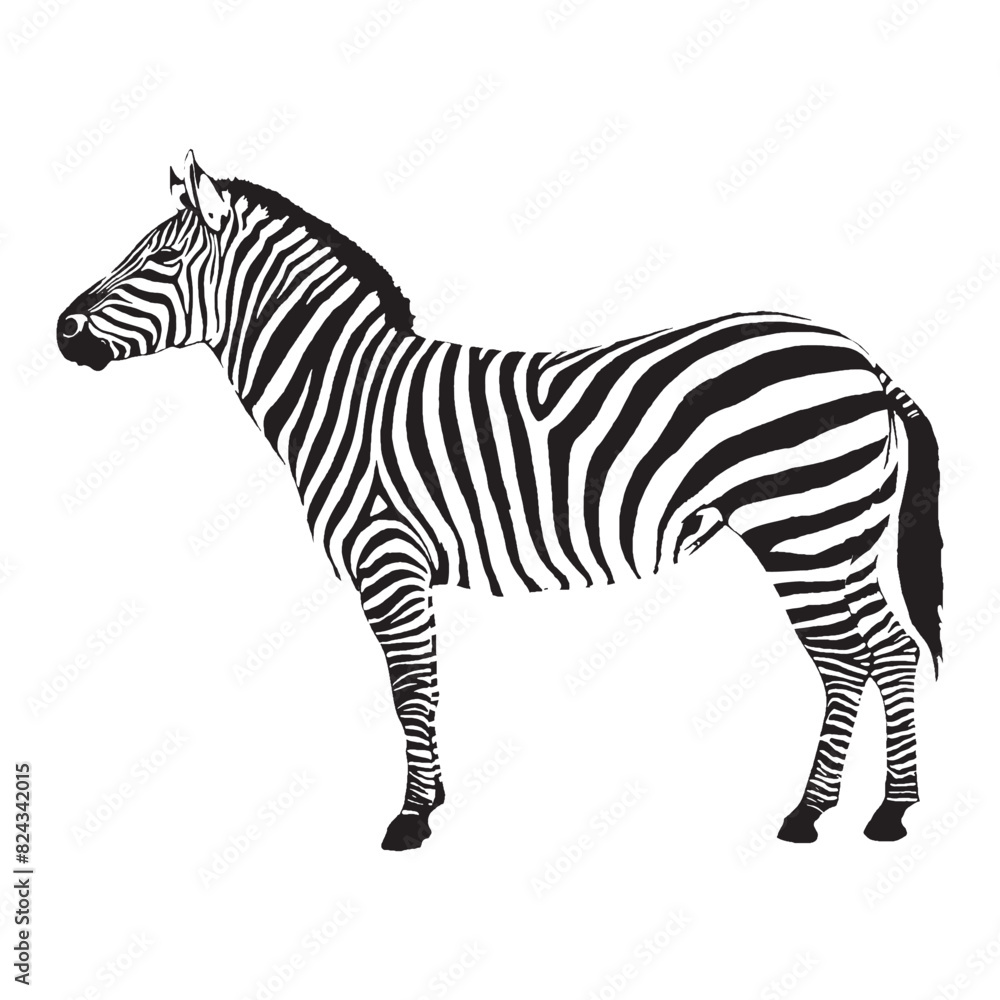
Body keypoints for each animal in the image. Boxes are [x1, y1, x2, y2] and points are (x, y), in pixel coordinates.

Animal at [57, 151, 943, 851]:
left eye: (159, 263)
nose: (62, 331)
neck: (343, 393)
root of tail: (858, 357)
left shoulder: (389, 557)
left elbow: (410, 685)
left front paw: (412, 817)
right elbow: (421, 683)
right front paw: (434, 796)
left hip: (802, 529)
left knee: (853, 658)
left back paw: (831, 814)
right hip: (840, 532)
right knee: (884, 652)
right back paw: (872, 810)